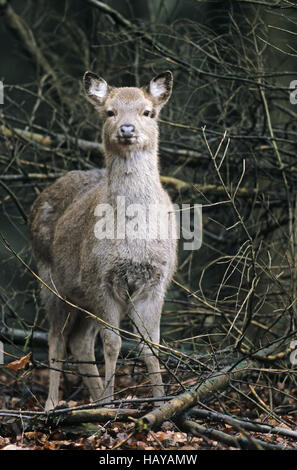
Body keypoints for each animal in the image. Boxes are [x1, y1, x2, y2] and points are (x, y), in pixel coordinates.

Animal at [27, 70, 176, 412]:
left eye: (148, 112)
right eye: (110, 112)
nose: (127, 128)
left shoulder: (157, 280)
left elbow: (151, 345)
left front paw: (161, 402)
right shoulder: (101, 279)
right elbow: (112, 343)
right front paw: (111, 404)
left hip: (82, 297)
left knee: (79, 341)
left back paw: (94, 401)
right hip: (51, 280)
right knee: (56, 339)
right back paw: (54, 404)